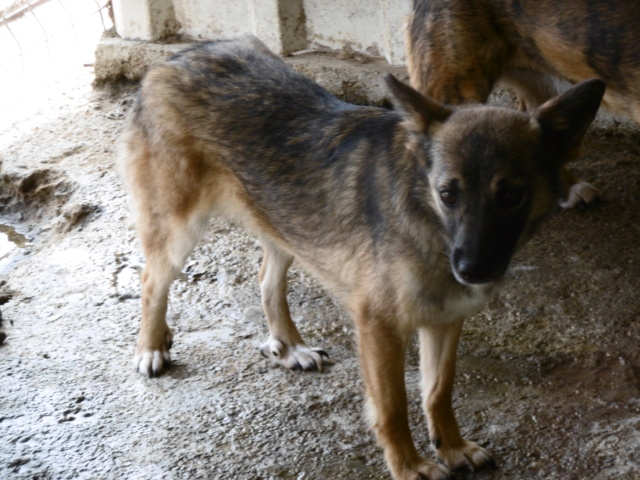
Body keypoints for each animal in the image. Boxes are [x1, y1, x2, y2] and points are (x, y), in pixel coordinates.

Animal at [120, 35, 604, 478]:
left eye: (512, 195)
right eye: (448, 194)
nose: (472, 271)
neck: (426, 218)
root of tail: (176, 58)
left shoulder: (445, 319)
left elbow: (438, 390)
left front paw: (451, 447)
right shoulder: (380, 326)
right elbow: (392, 406)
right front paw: (409, 466)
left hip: (284, 224)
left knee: (267, 279)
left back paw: (290, 346)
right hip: (178, 230)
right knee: (151, 282)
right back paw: (150, 346)